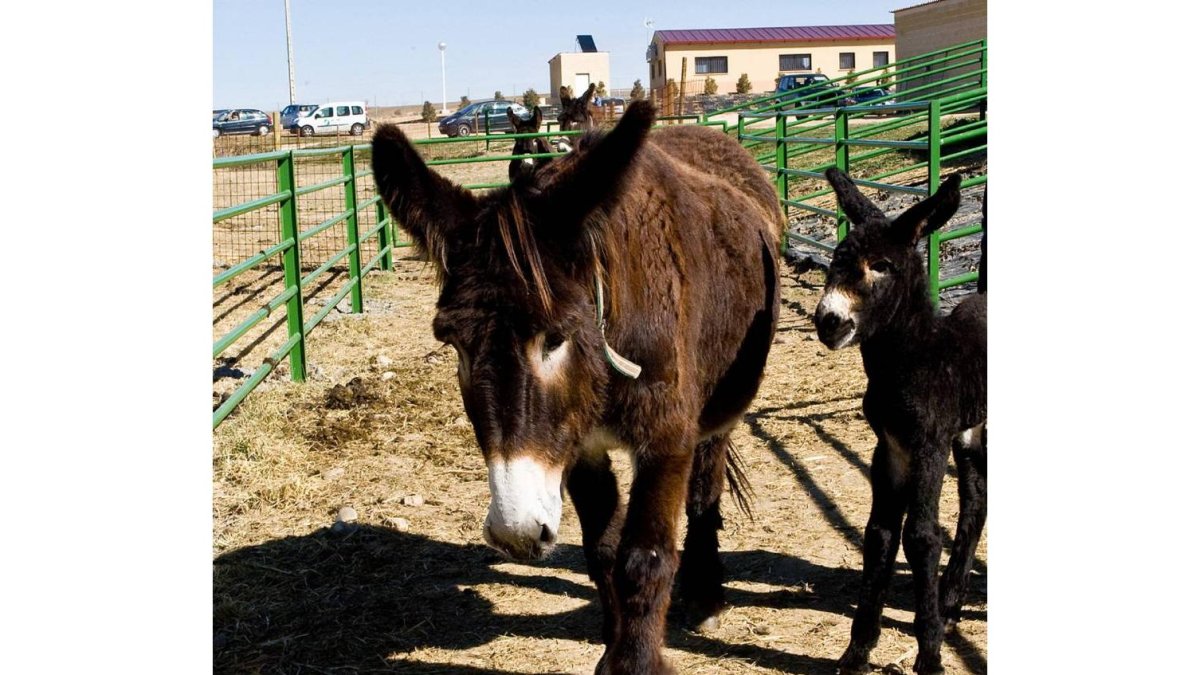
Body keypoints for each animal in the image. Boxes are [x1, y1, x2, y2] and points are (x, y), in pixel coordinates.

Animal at [372, 101, 782, 673]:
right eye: (453, 343)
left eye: (556, 338)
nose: (516, 535)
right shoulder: (578, 444)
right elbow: (603, 550)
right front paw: (611, 644)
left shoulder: (667, 436)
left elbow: (645, 557)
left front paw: (634, 663)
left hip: (721, 404)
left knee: (705, 492)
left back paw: (706, 598)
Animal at [814, 169, 986, 675]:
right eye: (836, 260)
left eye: (882, 266)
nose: (828, 322)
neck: (915, 360)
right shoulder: (889, 447)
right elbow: (880, 534)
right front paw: (856, 651)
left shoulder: (928, 444)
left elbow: (922, 536)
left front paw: (929, 655)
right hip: (968, 433)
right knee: (975, 503)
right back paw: (950, 602)